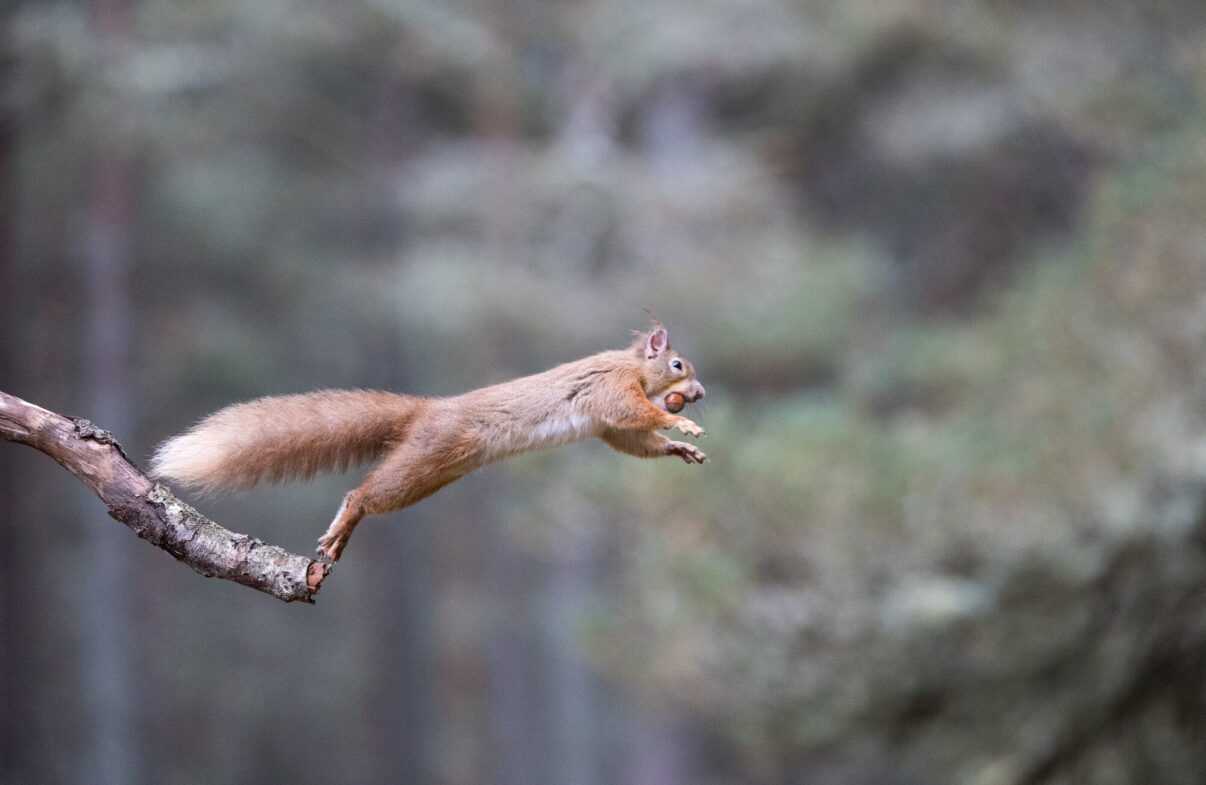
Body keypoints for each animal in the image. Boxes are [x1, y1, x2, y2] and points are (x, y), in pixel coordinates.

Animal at [155, 315, 709, 561]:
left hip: (432, 474)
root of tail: (428, 410)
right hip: (425, 460)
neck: (633, 366)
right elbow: (632, 414)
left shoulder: (609, 425)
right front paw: (683, 427)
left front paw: (679, 447)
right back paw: (344, 521)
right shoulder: (610, 388)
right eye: (678, 365)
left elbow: (628, 440)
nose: (700, 393)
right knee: (364, 494)